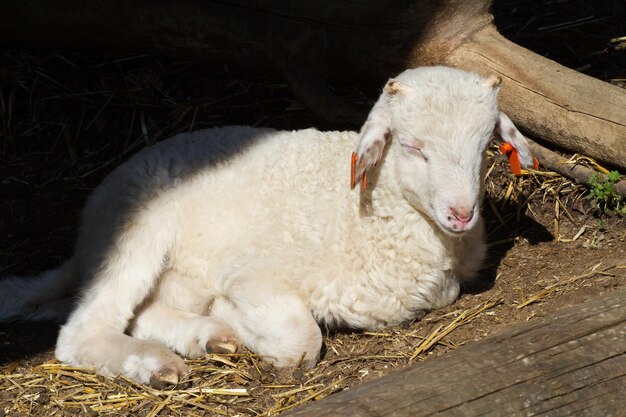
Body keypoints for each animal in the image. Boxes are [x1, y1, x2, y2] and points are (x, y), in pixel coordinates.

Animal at [2, 66, 532, 386]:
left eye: (485, 145)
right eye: (413, 147)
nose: (462, 214)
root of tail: (84, 241)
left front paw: (223, 324)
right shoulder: (255, 276)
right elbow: (300, 342)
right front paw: (241, 319)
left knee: (136, 311)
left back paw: (206, 336)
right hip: (138, 232)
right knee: (82, 331)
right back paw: (158, 362)